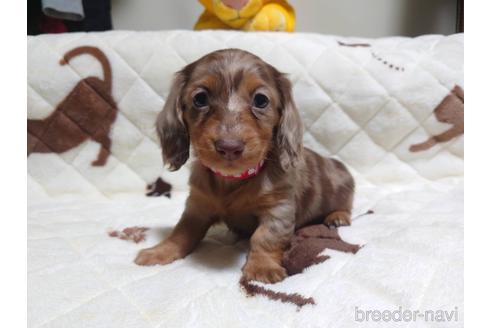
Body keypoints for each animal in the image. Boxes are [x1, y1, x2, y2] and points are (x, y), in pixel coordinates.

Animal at [135, 48, 354, 284]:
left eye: (261, 100)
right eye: (200, 98)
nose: (229, 147)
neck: (233, 179)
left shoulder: (279, 209)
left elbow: (265, 236)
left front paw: (262, 267)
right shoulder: (197, 206)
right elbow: (181, 232)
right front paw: (160, 251)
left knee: (345, 205)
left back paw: (337, 217)